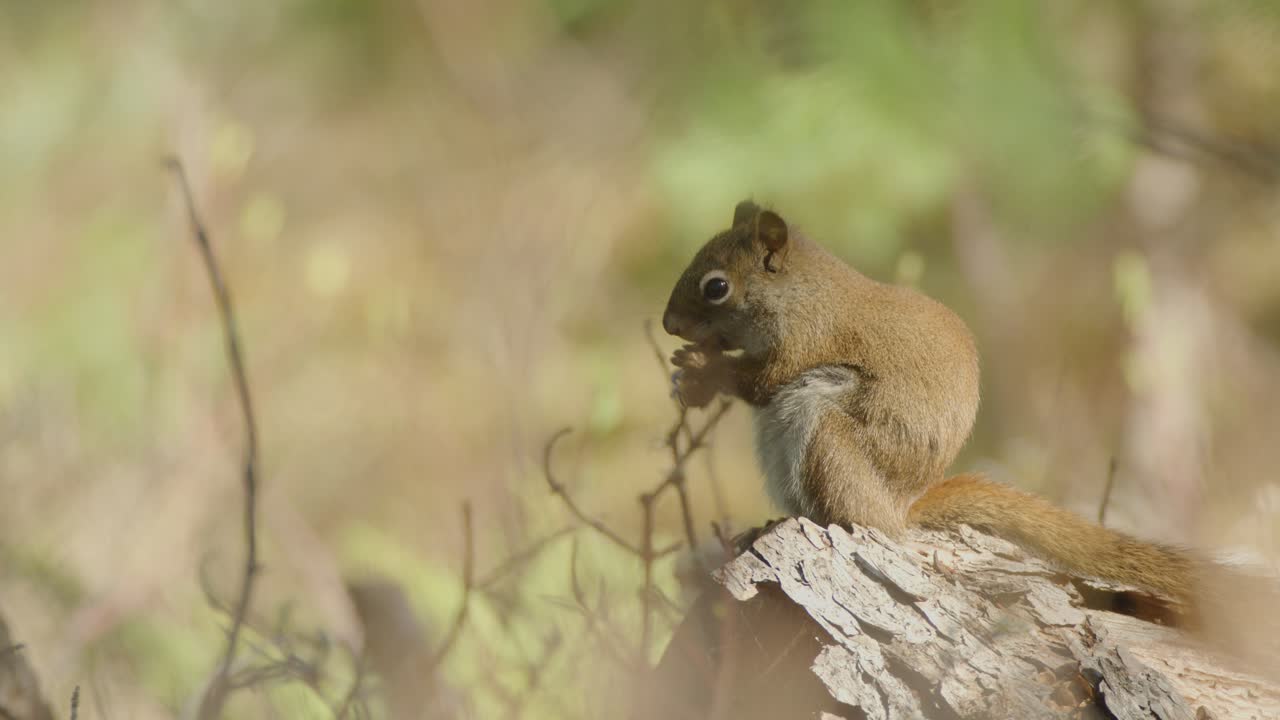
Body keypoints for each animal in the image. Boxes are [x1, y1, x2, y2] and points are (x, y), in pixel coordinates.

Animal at [661, 200, 1209, 606]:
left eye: (716, 287)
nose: (668, 324)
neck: (801, 292)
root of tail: (900, 508)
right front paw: (690, 378)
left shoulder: (807, 339)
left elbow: (762, 382)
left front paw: (704, 369)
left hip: (826, 435)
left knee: (859, 517)